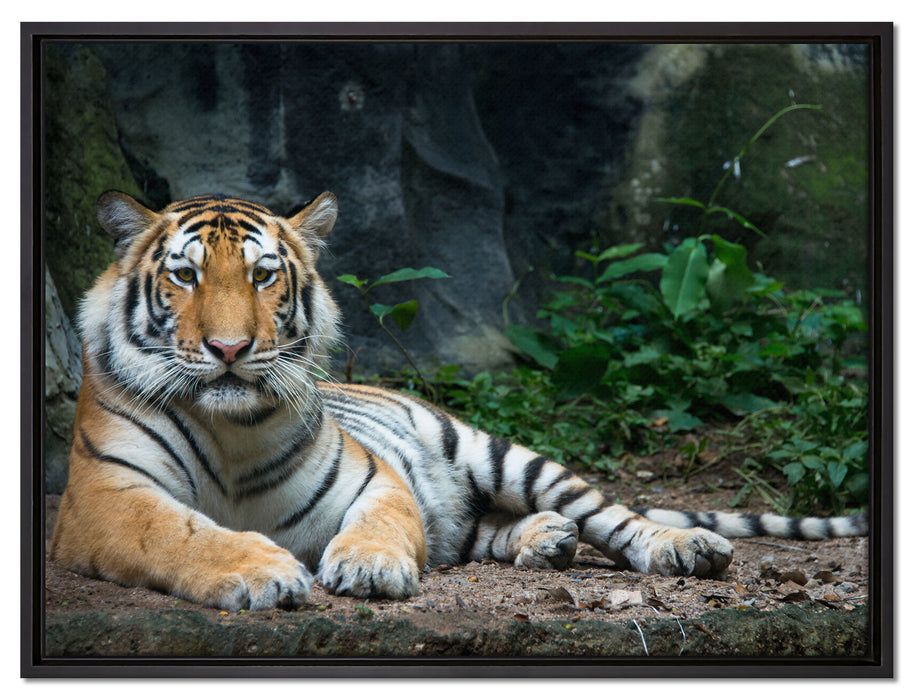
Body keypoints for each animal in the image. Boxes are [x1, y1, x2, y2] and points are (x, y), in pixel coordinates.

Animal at [50, 190, 868, 611]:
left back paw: (681, 546)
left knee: (613, 515)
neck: (230, 428)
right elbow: (180, 533)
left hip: (498, 453)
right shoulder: (104, 498)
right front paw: (262, 572)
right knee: (480, 530)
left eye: (261, 276)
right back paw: (545, 541)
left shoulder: (374, 477)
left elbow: (380, 522)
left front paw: (369, 569)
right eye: (186, 276)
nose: (228, 349)